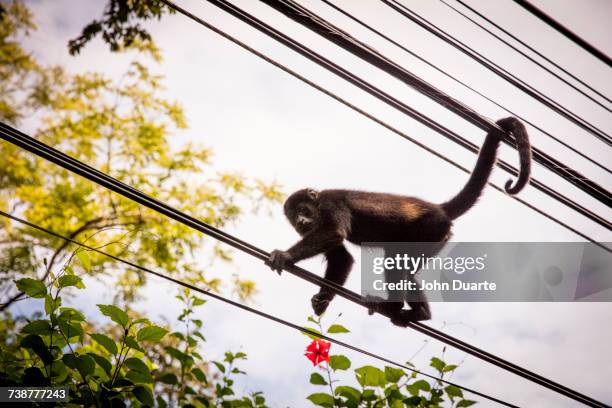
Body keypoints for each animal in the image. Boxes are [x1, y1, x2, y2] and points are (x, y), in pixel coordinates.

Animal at [266, 117, 532, 326]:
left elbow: (334, 233)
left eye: (303, 209)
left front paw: (285, 256)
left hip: (431, 229)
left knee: (397, 261)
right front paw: (323, 299)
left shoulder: (332, 204)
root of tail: (439, 209)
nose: (301, 221)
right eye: (293, 217)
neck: (318, 204)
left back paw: (399, 308)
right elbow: (342, 257)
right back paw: (412, 312)